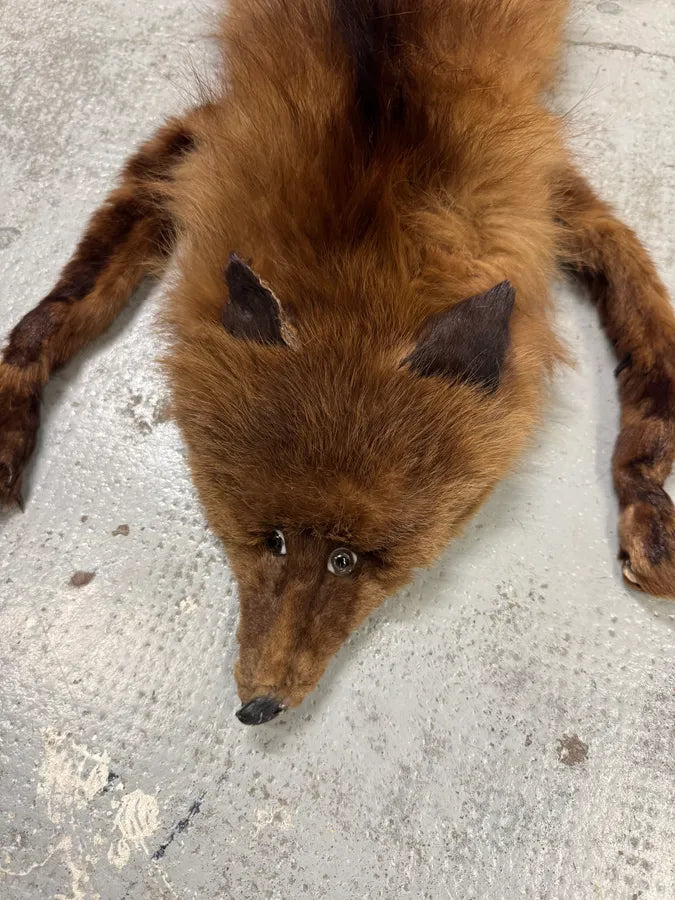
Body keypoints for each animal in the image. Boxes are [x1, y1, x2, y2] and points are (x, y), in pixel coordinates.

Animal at [1, 0, 674, 725]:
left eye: (347, 560)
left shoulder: (544, 192)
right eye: (270, 539)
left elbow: (652, 366)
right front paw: (10, 424)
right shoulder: (201, 139)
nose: (257, 708)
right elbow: (60, 308)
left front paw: (646, 511)